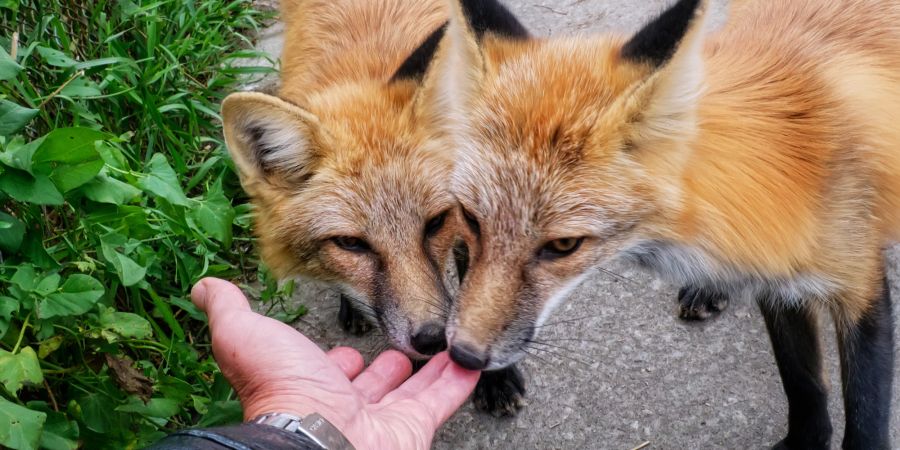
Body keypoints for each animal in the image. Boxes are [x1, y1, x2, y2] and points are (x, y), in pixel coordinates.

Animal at [425, 0, 899, 448]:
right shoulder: (778, 283)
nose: (464, 355)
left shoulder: (860, 285)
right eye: (471, 218)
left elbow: (863, 411)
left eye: (564, 246)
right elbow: (803, 384)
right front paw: (805, 441)